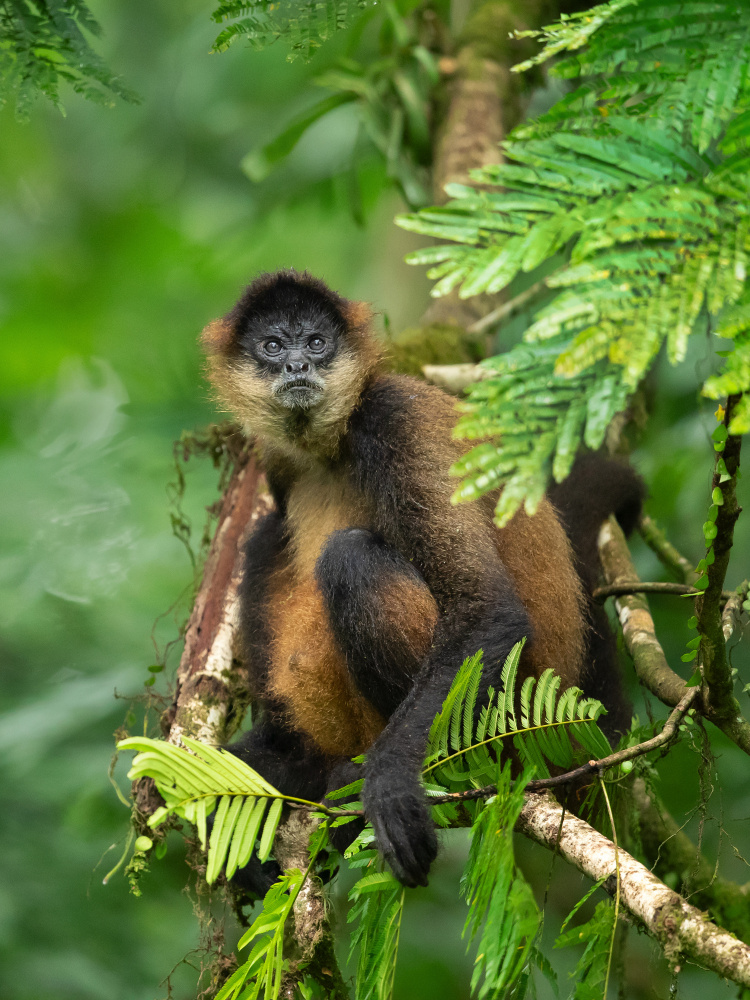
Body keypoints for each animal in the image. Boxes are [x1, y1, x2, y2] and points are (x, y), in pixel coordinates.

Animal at [201, 270, 648, 888]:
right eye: (272, 346)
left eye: (316, 342)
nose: (296, 366)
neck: (330, 447)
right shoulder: (280, 463)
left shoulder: (393, 417)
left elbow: (485, 609)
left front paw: (389, 783)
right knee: (268, 534)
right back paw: (292, 758)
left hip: (506, 717)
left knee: (349, 558)